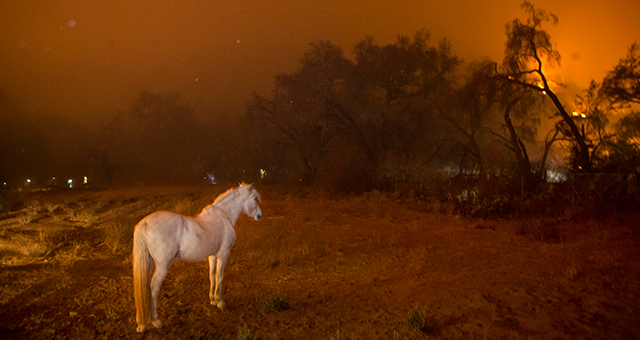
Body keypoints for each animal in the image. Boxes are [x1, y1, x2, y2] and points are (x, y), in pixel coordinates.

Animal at [132, 183, 262, 332]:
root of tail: (145, 223)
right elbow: (220, 277)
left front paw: (212, 300)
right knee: (153, 288)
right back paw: (156, 321)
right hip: (162, 266)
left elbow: (212, 276)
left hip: (149, 263)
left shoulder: (212, 256)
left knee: (144, 287)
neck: (224, 216)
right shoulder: (223, 255)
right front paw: (220, 302)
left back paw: (142, 323)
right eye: (255, 199)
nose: (260, 215)